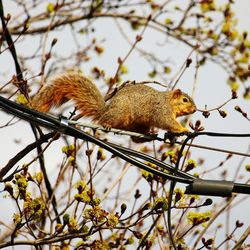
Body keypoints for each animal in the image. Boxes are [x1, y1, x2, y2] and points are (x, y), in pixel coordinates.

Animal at [31, 71, 196, 139]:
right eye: (185, 100)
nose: (195, 109)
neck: (169, 102)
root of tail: (106, 109)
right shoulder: (161, 110)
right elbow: (167, 122)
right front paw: (183, 129)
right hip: (121, 113)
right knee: (105, 120)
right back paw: (106, 124)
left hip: (140, 124)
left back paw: (149, 135)